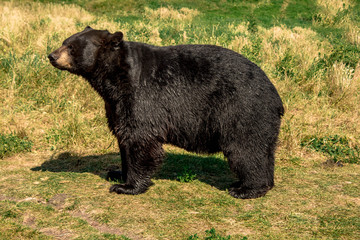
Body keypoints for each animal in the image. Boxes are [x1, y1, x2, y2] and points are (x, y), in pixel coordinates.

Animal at [48, 26, 284, 199]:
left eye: (71, 47)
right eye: (64, 41)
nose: (51, 55)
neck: (115, 77)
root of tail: (276, 96)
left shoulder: (142, 96)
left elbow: (140, 138)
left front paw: (127, 186)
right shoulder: (116, 103)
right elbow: (123, 133)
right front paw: (117, 172)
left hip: (242, 110)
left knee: (245, 149)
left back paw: (246, 189)